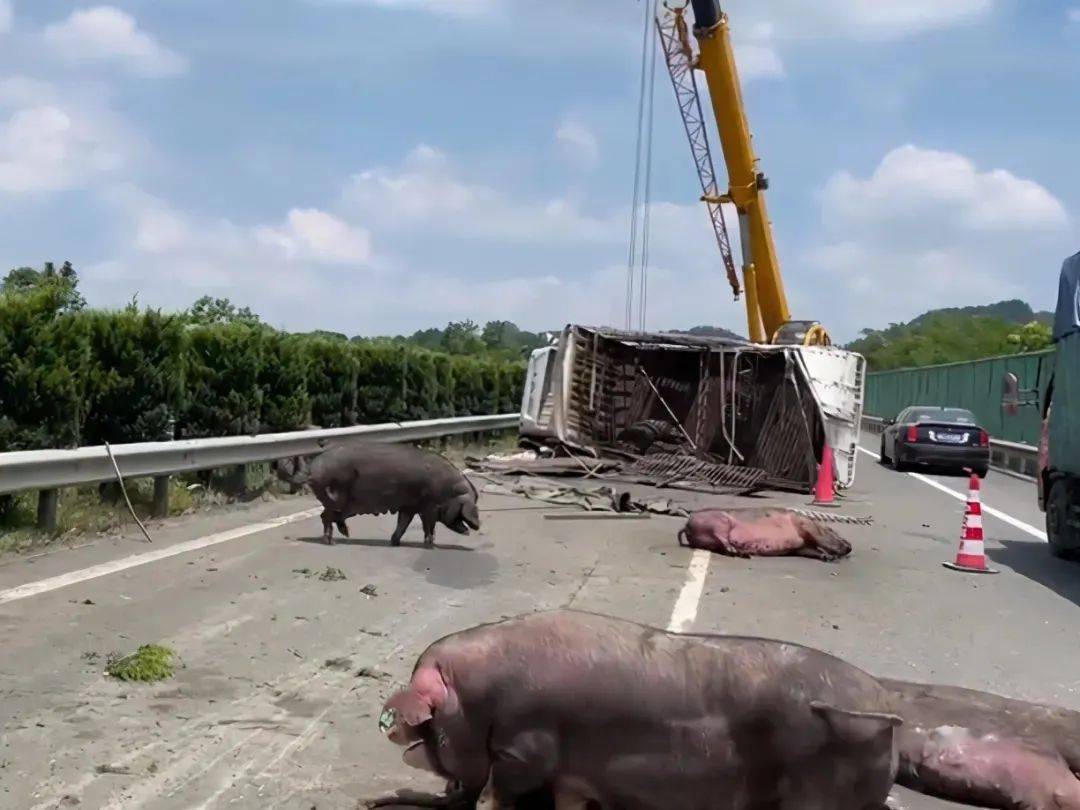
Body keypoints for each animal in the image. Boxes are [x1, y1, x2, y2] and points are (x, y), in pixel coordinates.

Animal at [300, 440, 481, 548]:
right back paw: (332, 542)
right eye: (470, 502)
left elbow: (403, 523)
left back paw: (346, 534)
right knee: (327, 516)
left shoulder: (409, 506)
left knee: (330, 516)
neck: (446, 490)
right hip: (337, 497)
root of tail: (314, 467)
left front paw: (395, 542)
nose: (477, 526)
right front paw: (432, 546)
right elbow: (428, 526)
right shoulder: (428, 507)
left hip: (345, 504)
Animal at [373, 613, 902, 807]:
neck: (476, 696)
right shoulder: (571, 777)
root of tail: (886, 712)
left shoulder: (524, 749)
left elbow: (495, 794)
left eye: (432, 727)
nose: (396, 734)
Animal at [682, 507, 851, 565]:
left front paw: (827, 557)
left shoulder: (800, 547)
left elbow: (811, 551)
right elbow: (819, 541)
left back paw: (743, 554)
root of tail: (686, 525)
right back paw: (736, 551)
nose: (849, 546)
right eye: (832, 531)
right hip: (720, 521)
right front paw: (832, 556)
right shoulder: (804, 524)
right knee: (722, 537)